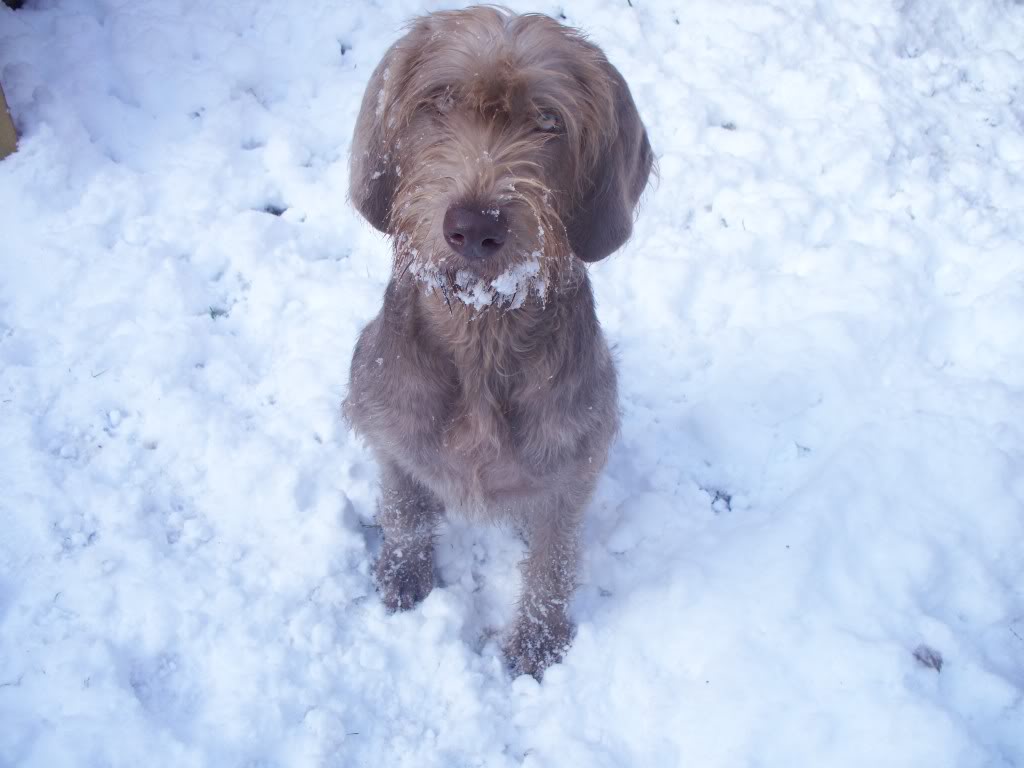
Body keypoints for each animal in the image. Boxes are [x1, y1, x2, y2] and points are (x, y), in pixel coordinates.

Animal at [344, 6, 652, 678]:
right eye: (438, 101)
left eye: (548, 121)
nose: (473, 227)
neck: (481, 334)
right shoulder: (388, 426)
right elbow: (403, 508)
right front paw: (402, 573)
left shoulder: (571, 469)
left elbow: (552, 563)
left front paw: (537, 642)